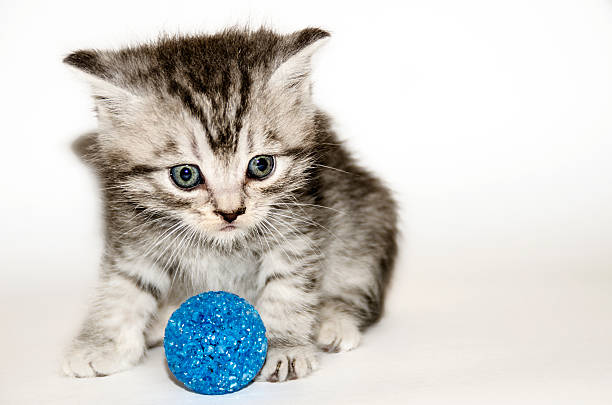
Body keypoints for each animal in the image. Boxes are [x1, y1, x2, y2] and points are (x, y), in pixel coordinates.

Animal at [62, 28, 396, 382]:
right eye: (185, 174)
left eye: (261, 166)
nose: (230, 212)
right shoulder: (135, 232)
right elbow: (123, 284)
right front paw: (100, 343)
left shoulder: (298, 226)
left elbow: (287, 286)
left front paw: (284, 347)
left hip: (365, 221)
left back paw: (334, 321)